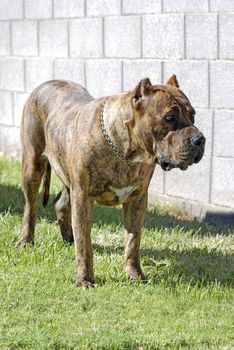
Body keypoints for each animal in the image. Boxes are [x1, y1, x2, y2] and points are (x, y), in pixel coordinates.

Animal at [16, 74, 205, 288]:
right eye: (170, 117)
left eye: (193, 115)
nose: (200, 139)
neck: (125, 153)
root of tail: (47, 82)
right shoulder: (83, 198)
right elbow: (85, 243)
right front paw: (85, 279)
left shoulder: (138, 200)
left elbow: (133, 241)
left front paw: (135, 275)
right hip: (33, 165)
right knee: (30, 206)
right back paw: (26, 241)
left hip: (67, 176)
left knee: (61, 204)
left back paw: (68, 239)